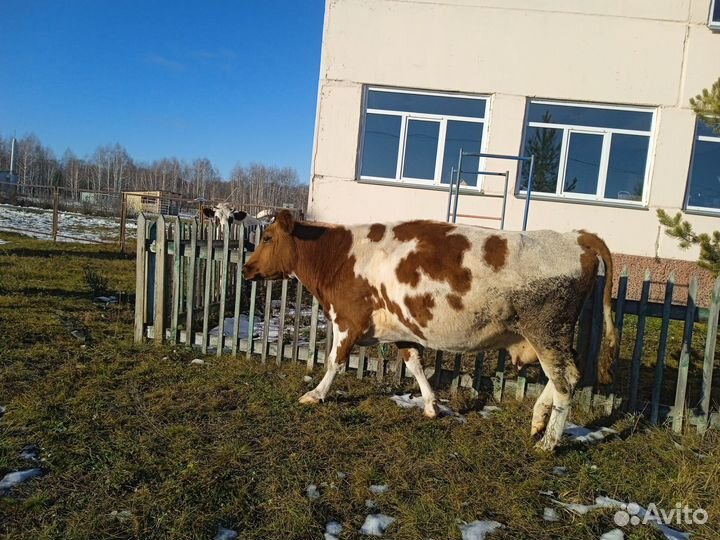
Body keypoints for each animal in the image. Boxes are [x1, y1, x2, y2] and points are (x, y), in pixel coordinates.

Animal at [241, 211, 616, 452]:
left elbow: (335, 361)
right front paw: (432, 405)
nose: (246, 268)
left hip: (546, 330)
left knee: (565, 381)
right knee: (567, 375)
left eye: (267, 237)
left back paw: (549, 443)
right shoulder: (402, 330)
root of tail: (574, 236)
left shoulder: (347, 320)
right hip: (553, 335)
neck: (338, 256)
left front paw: (316, 394)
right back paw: (538, 421)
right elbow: (415, 364)